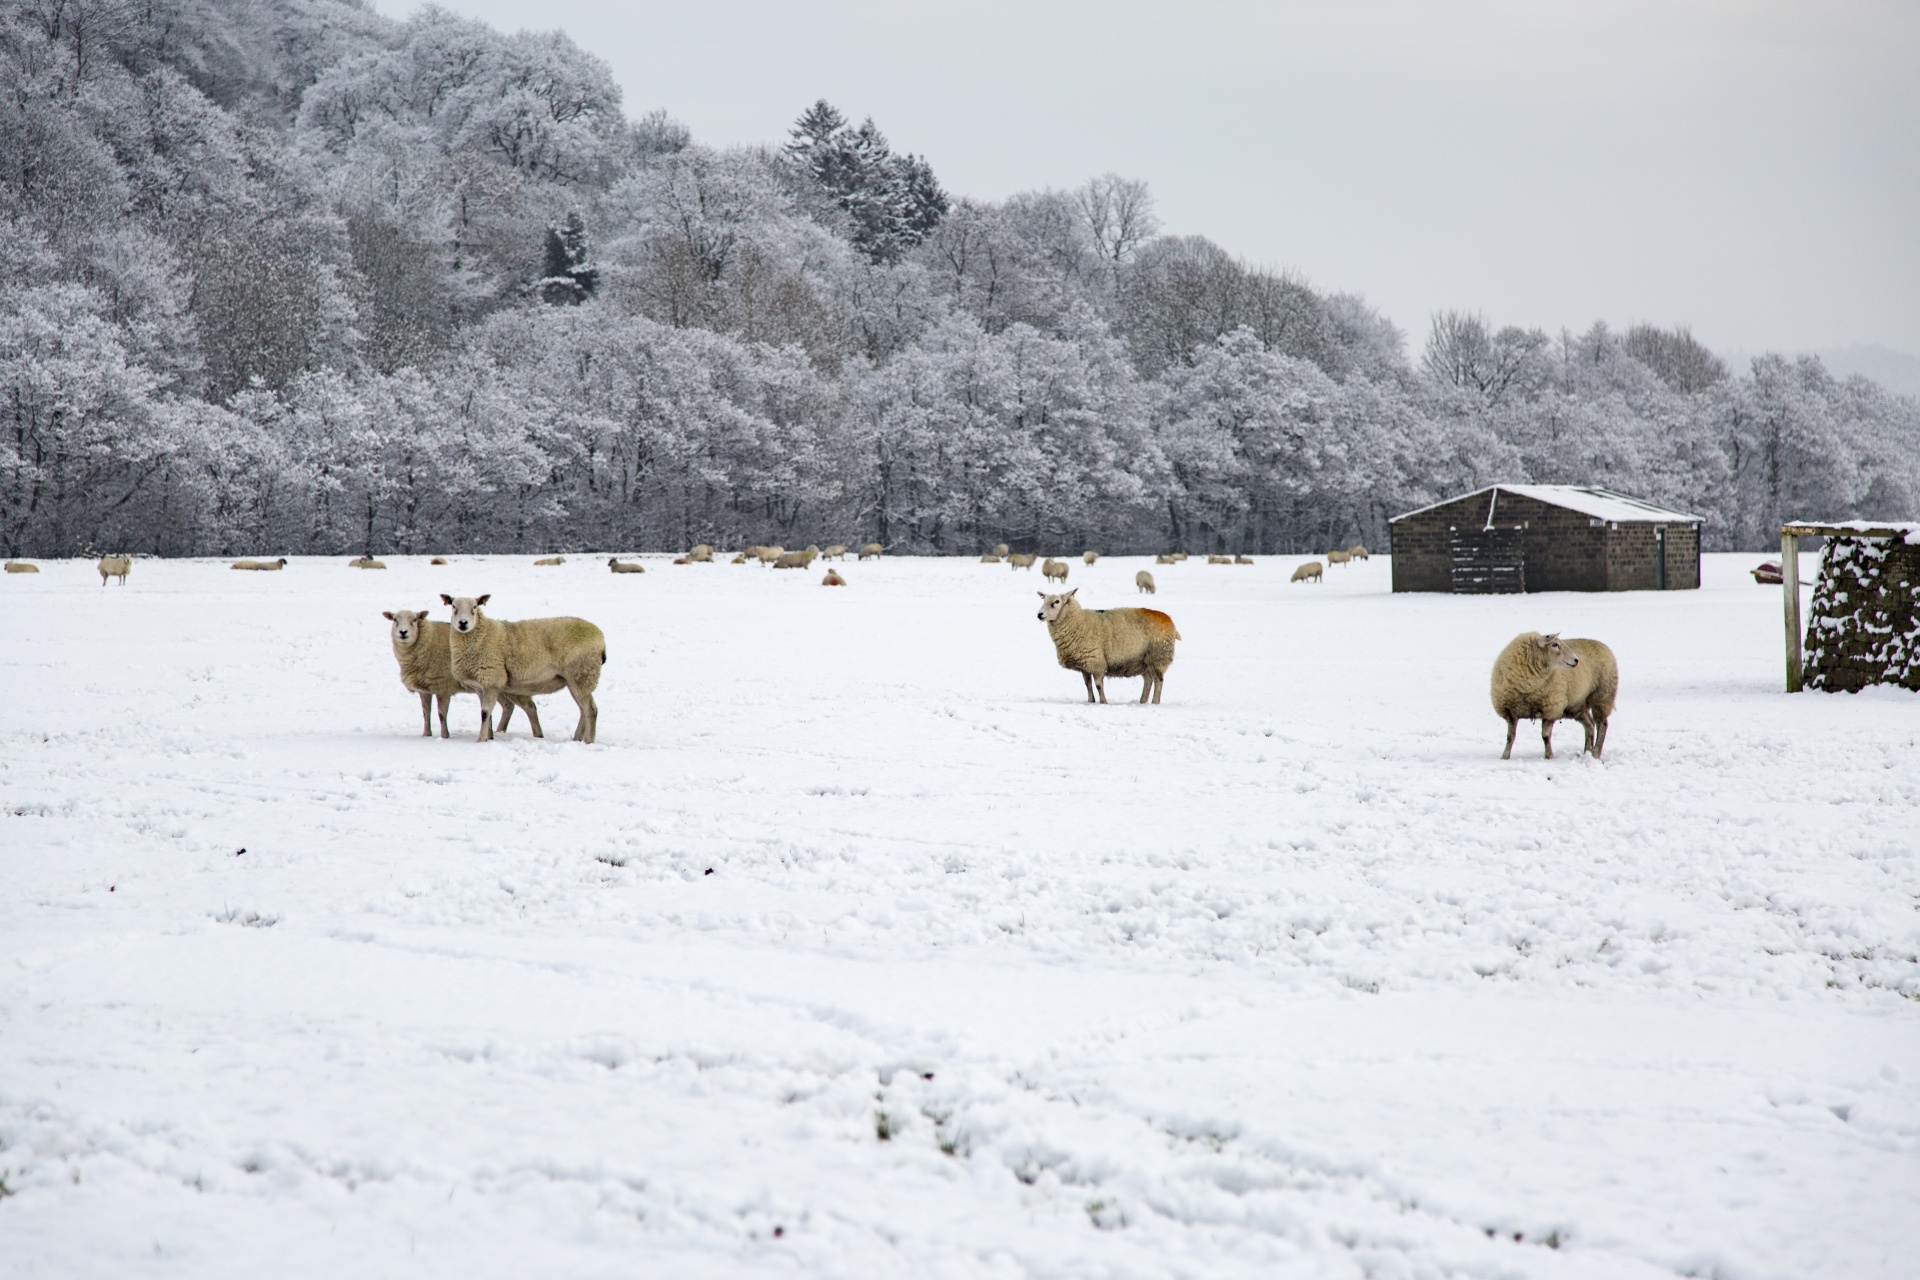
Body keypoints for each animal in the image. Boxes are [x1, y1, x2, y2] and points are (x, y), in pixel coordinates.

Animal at [384, 610, 529, 740]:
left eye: (414, 620)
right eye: (395, 620)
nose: (403, 632)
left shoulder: (442, 687)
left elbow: (441, 714)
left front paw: (444, 736)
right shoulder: (424, 690)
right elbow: (426, 713)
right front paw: (426, 735)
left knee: (525, 707)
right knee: (508, 706)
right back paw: (497, 732)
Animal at [445, 594, 602, 744]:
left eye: (474, 607)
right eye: (453, 606)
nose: (463, 623)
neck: (482, 634)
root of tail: (599, 635)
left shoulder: (491, 680)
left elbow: (485, 713)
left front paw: (481, 740)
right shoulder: (480, 686)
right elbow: (487, 714)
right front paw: (488, 736)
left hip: (582, 674)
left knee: (591, 710)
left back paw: (589, 740)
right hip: (575, 680)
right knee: (583, 710)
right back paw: (577, 738)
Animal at [1036, 587, 1182, 706]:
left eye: (1056, 602)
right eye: (1044, 600)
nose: (1039, 614)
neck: (1077, 621)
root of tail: (1169, 620)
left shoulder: (1096, 662)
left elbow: (1099, 685)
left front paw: (1103, 702)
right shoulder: (1085, 663)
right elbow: (1088, 685)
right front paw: (1091, 701)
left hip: (1158, 657)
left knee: (1159, 681)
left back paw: (1154, 702)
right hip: (1144, 660)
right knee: (1148, 680)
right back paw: (1142, 701)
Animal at [1482, 629, 1620, 759]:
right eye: (1555, 644)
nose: (1576, 660)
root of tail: (1602, 645)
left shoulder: (1550, 708)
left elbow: (1546, 736)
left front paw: (1549, 756)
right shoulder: (1510, 711)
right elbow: (1510, 737)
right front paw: (1505, 756)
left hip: (1602, 696)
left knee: (1602, 724)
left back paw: (1596, 752)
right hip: (1577, 705)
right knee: (1590, 725)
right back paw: (1587, 751)